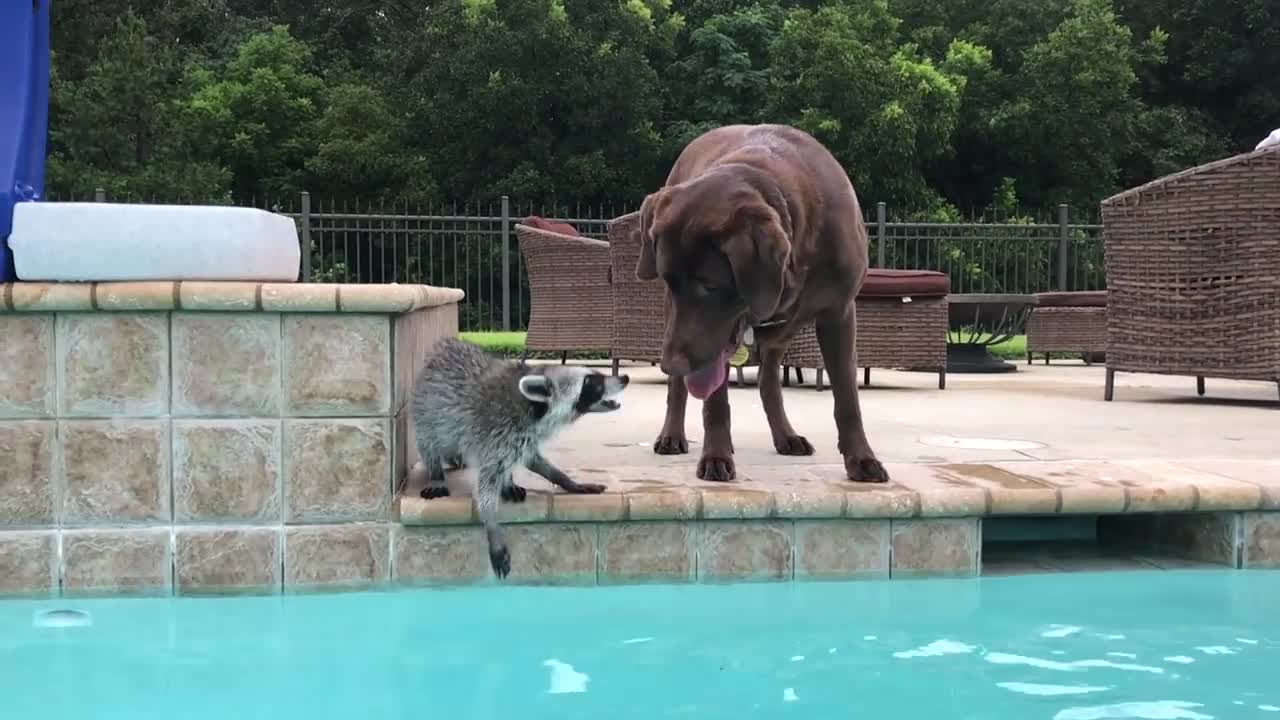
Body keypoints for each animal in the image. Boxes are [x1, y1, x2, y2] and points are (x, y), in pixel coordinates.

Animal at [409, 335, 629, 576]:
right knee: (430, 442)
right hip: (427, 411)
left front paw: (566, 481)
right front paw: (492, 526)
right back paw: (436, 472)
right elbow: (485, 487)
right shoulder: (495, 431)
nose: (624, 378)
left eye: (595, 375)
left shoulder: (521, 437)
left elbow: (533, 460)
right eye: (590, 382)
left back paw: (508, 481)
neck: (532, 407)